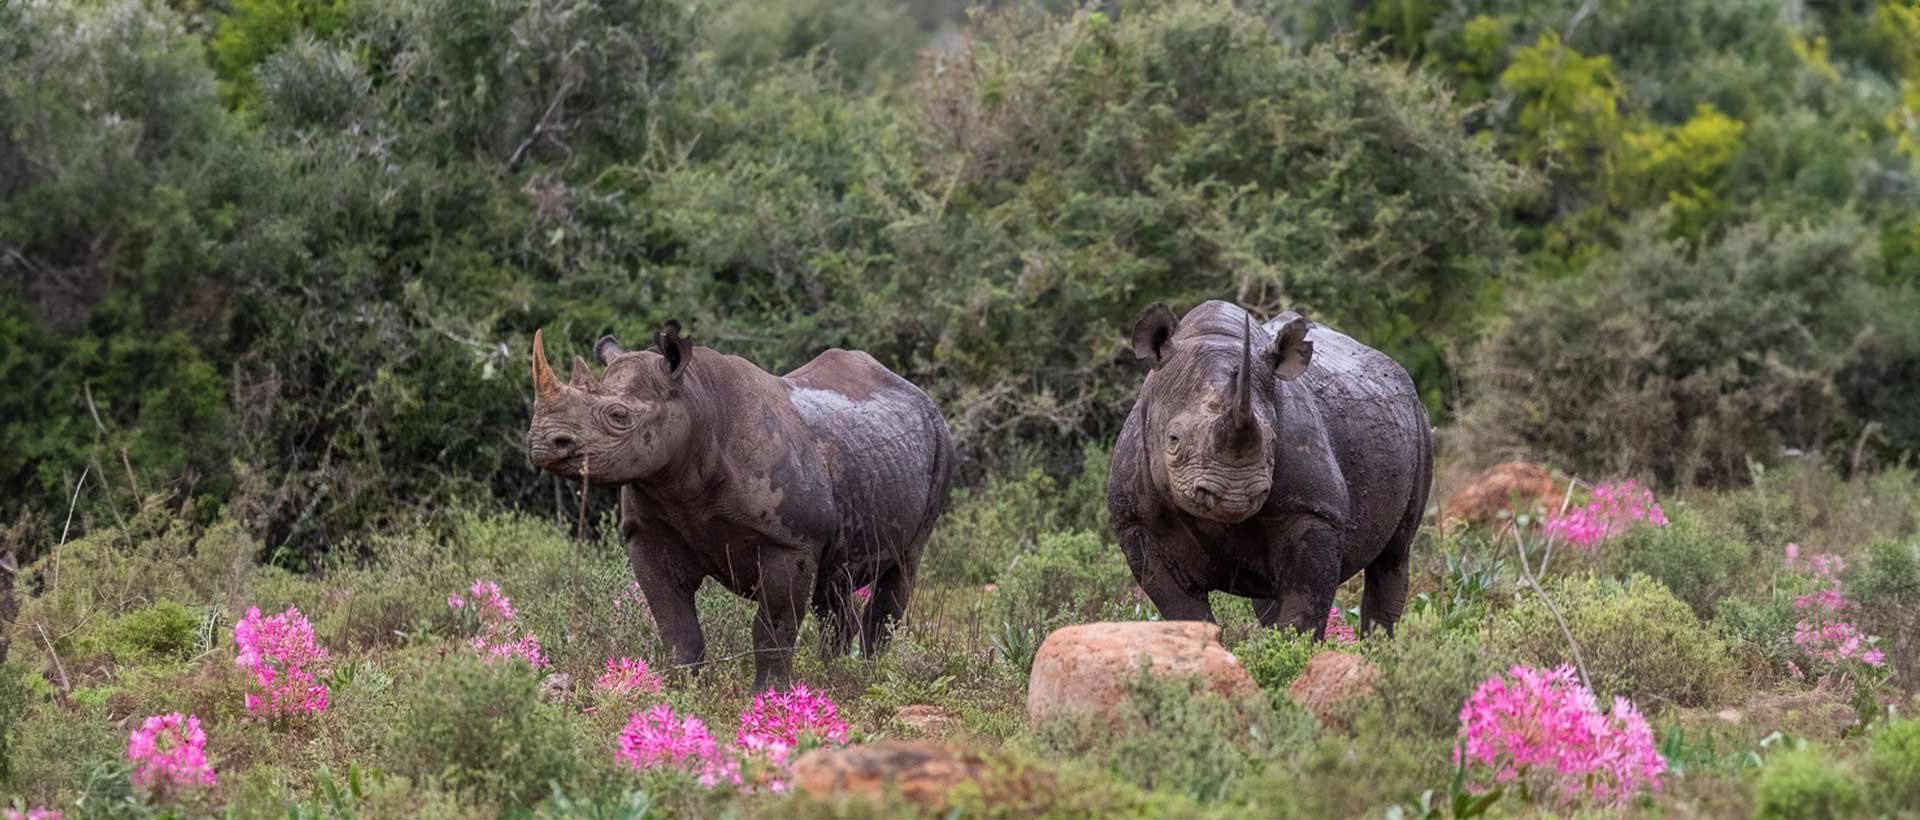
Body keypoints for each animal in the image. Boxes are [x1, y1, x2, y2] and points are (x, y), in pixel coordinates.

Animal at [527, 322, 952, 690]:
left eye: (619, 416)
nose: (544, 443)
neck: (694, 404)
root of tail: (916, 393)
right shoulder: (648, 532)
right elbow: (674, 621)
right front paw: (681, 688)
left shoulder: (790, 540)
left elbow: (773, 625)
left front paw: (769, 694)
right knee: (834, 582)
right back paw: (834, 674)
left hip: (940, 441)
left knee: (902, 565)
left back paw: (868, 675)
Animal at [1107, 300, 1432, 638]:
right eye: (1173, 440)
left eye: (1273, 440)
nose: (1234, 495)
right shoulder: (1136, 521)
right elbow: (1184, 611)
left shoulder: (1314, 510)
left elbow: (1303, 609)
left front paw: (1290, 651)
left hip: (1418, 419)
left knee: (1394, 555)